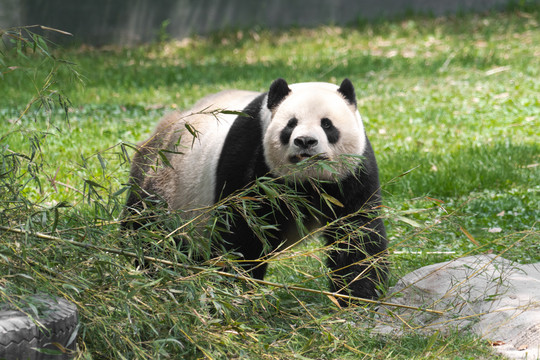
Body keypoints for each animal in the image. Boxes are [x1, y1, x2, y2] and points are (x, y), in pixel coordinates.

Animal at [126, 79, 388, 304]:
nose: (305, 141)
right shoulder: (251, 158)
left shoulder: (353, 172)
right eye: (291, 124)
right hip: (164, 182)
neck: (307, 180)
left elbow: (357, 234)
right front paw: (235, 290)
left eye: (327, 124)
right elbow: (243, 233)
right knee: (147, 230)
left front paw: (359, 295)